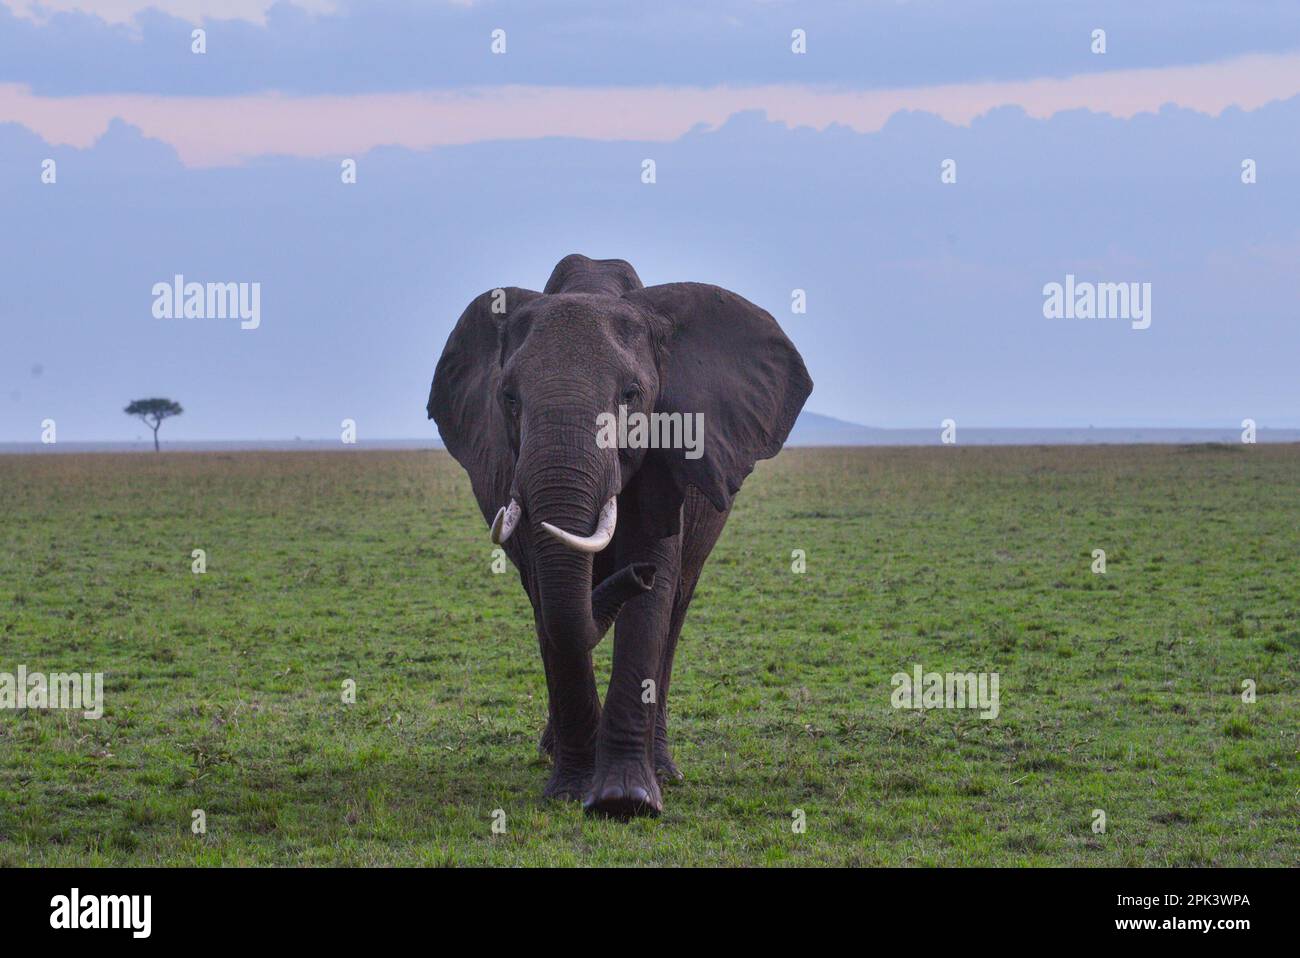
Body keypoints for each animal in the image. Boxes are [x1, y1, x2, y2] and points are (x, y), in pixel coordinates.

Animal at [426, 252, 811, 816]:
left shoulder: (667, 451)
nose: (637, 575)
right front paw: (571, 791)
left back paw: (665, 769)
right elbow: (549, 597)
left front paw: (625, 801)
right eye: (509, 399)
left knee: (677, 608)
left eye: (632, 397)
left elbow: (654, 590)